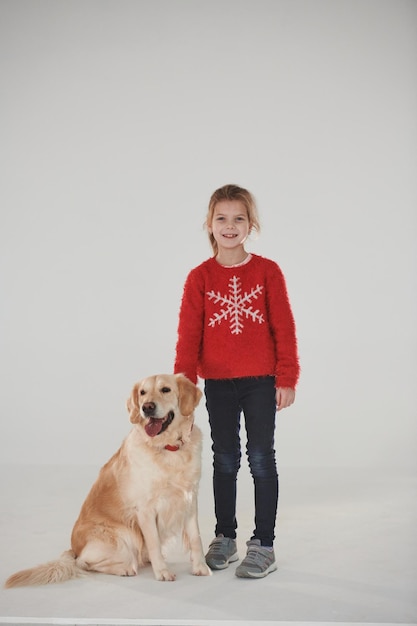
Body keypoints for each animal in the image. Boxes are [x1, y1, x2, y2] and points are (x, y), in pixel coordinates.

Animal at [7, 370, 211, 584]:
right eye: (143, 393)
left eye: (165, 389)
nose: (146, 407)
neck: (168, 448)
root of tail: (73, 548)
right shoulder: (145, 509)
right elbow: (154, 542)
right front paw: (162, 572)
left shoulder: (189, 498)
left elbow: (195, 538)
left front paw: (200, 567)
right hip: (124, 537)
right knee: (84, 562)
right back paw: (125, 569)